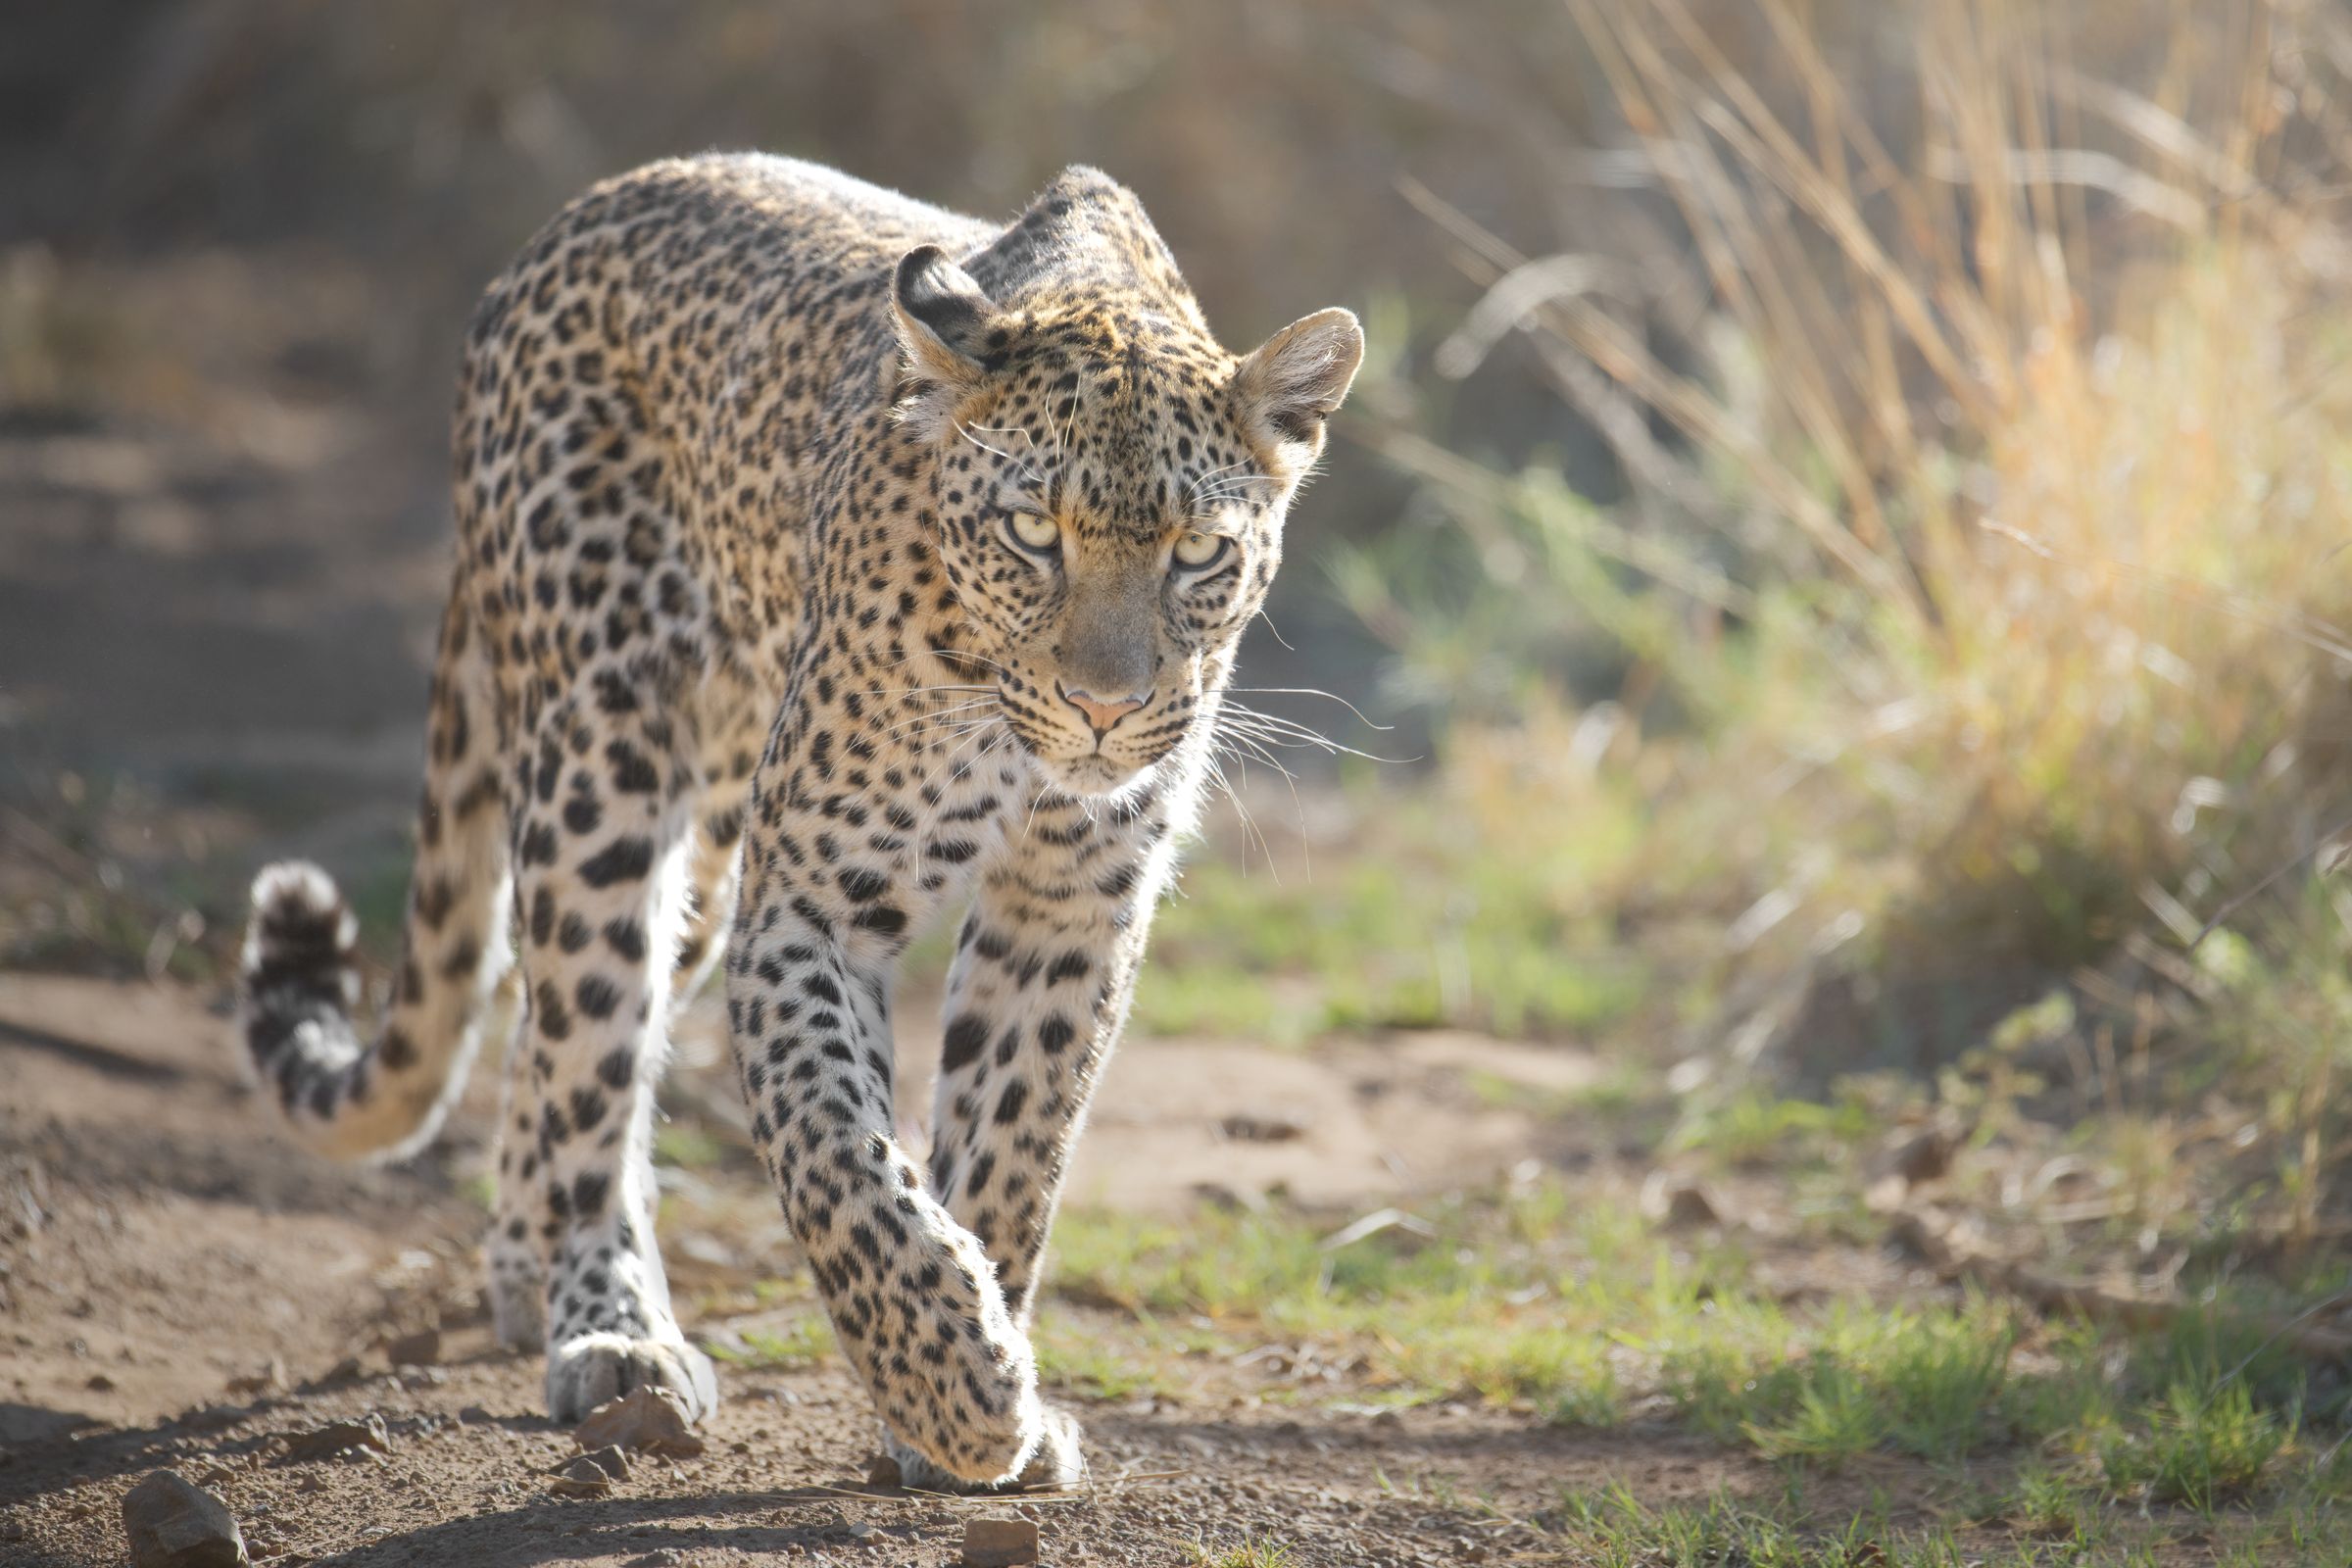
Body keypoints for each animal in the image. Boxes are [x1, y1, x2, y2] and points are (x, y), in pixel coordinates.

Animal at [236, 156, 1364, 1494]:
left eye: (1200, 552)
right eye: (1033, 532)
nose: (1105, 707)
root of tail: (569, 222)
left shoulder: (1070, 907)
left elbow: (1014, 1141)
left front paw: (980, 1390)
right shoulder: (815, 898)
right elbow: (836, 1150)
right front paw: (955, 1387)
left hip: (709, 852)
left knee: (549, 1031)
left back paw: (524, 1265)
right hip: (602, 761)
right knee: (588, 1039)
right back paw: (611, 1328)